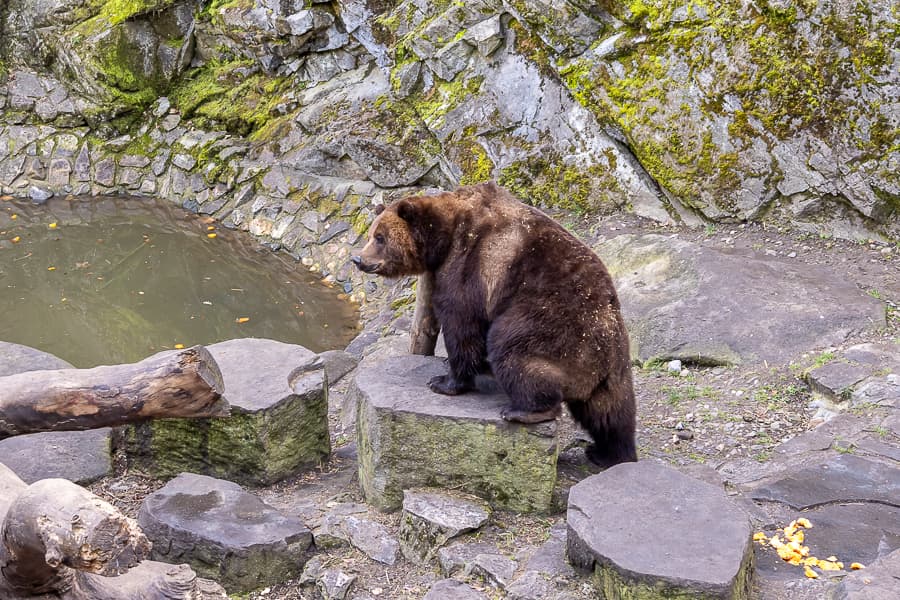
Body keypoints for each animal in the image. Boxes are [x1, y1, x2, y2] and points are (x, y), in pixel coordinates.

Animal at [348, 180, 636, 466]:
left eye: (380, 237)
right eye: (372, 234)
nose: (358, 259)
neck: (444, 237)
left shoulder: (468, 265)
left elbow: (461, 323)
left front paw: (443, 381)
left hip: (549, 322)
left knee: (513, 350)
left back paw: (523, 410)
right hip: (613, 365)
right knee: (611, 413)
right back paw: (609, 453)